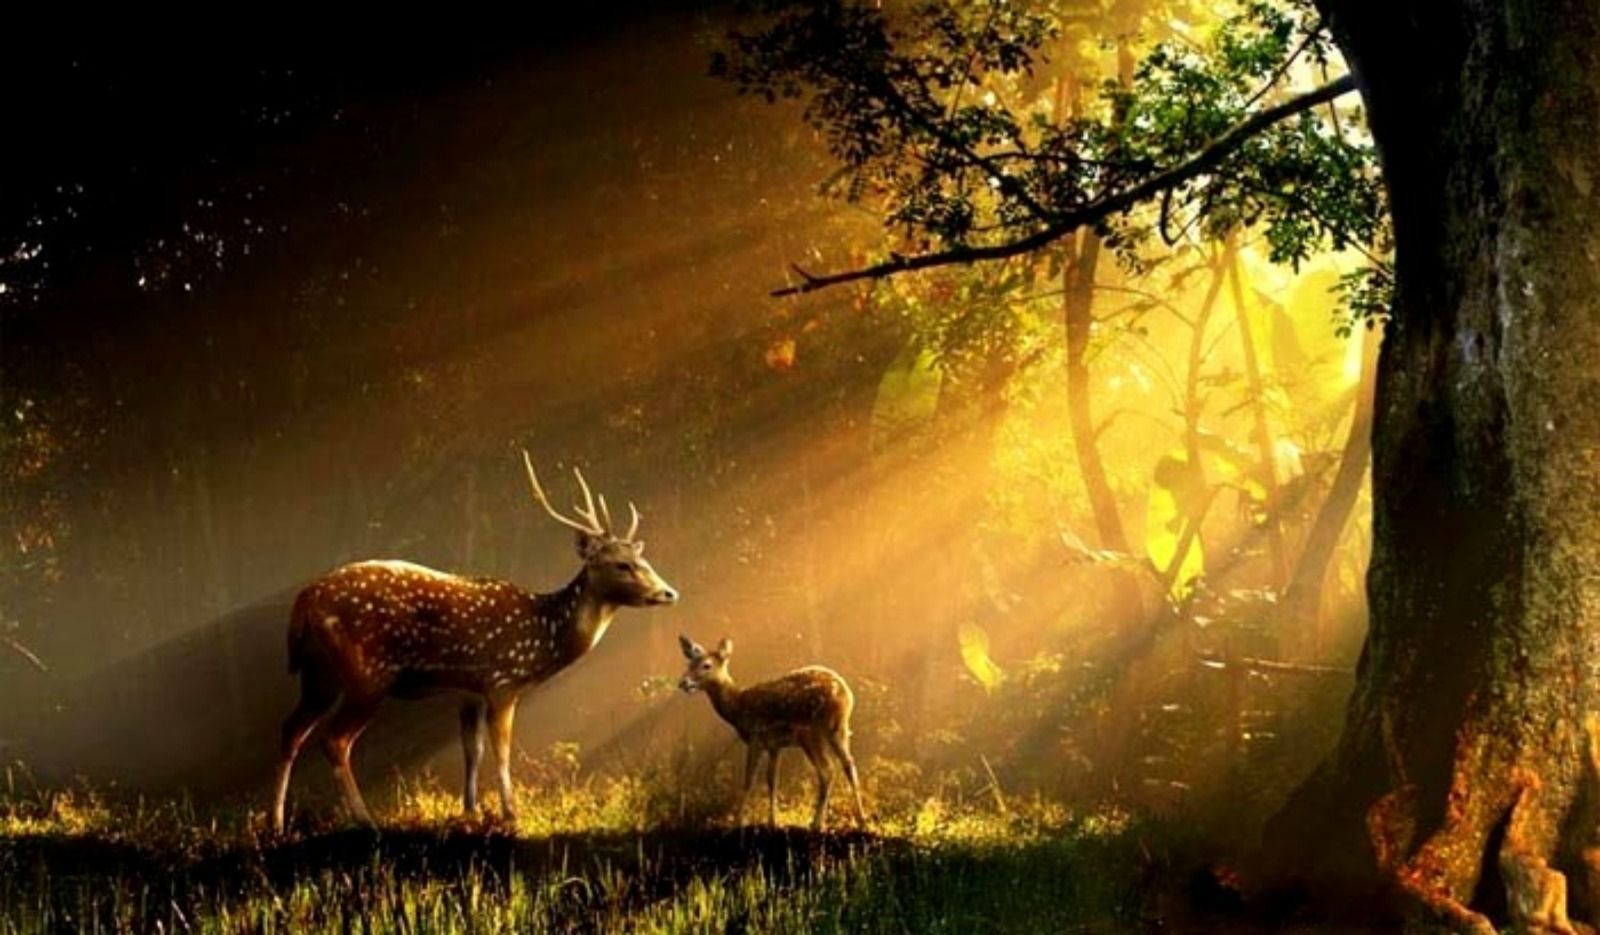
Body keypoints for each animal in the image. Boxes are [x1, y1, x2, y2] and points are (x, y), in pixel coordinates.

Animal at [270, 452, 678, 832]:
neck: (543, 635)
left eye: (643, 559)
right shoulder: (504, 680)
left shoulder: (468, 691)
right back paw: (364, 818)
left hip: (318, 675)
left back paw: (275, 823)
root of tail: (304, 601)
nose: (669, 592)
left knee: (291, 730)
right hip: (367, 673)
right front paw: (510, 814)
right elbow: (502, 748)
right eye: (621, 564)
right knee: (335, 739)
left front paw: (470, 811)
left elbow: (474, 748)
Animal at [676, 634, 866, 830]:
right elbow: (772, 780)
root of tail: (845, 695)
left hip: (811, 732)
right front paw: (772, 821)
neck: (738, 708)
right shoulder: (774, 746)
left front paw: (738, 821)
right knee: (848, 764)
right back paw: (861, 820)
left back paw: (817, 823)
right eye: (688, 664)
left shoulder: (756, 736)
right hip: (839, 729)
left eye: (706, 665)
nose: (683, 683)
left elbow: (748, 779)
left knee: (827, 770)